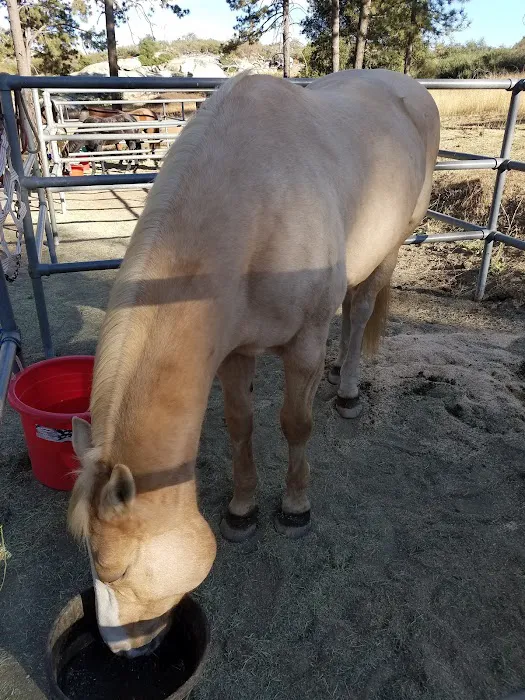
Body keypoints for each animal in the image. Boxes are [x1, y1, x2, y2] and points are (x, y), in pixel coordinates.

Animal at [68, 69, 440, 657]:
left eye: (120, 571)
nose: (122, 650)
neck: (256, 207)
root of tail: (408, 88)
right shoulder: (234, 352)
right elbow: (240, 426)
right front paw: (242, 511)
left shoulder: (304, 342)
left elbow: (295, 424)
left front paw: (294, 507)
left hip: (394, 245)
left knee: (359, 311)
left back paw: (349, 391)